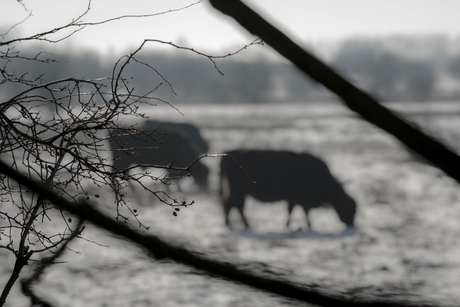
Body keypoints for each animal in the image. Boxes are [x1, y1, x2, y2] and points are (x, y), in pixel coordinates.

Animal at [221, 149, 358, 231]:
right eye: (349, 209)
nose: (351, 223)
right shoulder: (302, 200)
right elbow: (303, 213)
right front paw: (308, 226)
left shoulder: (294, 199)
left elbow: (292, 211)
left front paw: (289, 225)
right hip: (237, 192)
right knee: (236, 206)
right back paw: (245, 225)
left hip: (238, 192)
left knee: (233, 205)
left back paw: (231, 223)